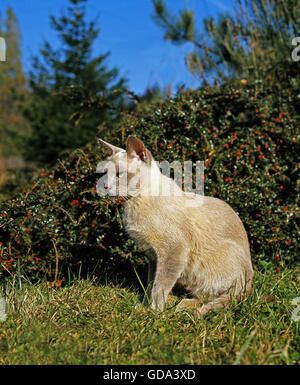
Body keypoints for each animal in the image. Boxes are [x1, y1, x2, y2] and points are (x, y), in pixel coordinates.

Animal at [96, 135, 253, 316]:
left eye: (119, 174)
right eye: (105, 173)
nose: (104, 186)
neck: (136, 201)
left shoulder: (173, 252)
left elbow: (159, 287)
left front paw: (153, 312)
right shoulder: (153, 257)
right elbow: (150, 285)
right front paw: (144, 307)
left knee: (227, 297)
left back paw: (190, 311)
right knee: (206, 296)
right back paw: (183, 305)